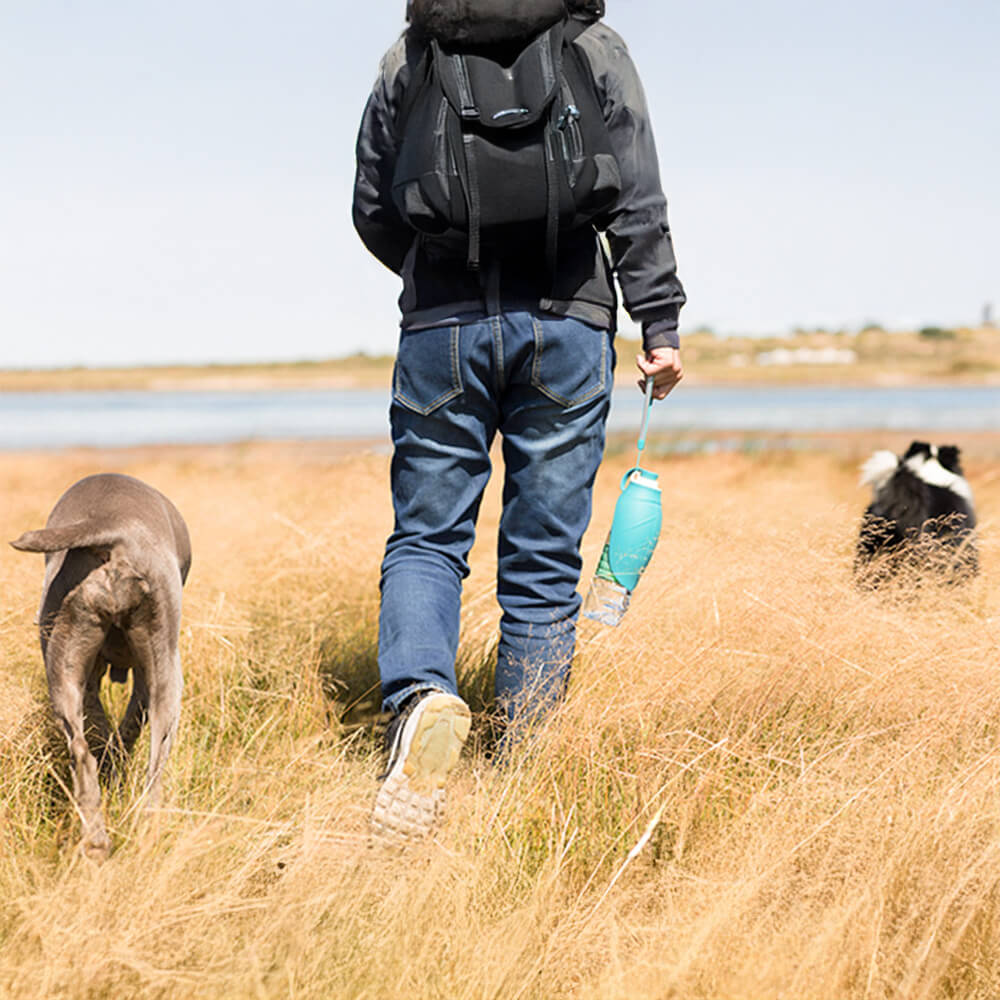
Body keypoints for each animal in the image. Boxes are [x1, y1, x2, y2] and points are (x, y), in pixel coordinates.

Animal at [11, 474, 190, 860]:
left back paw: (96, 843)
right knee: (155, 766)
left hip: (63, 655)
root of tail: (110, 523)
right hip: (168, 671)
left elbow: (102, 733)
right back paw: (148, 837)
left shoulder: (89, 679)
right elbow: (128, 727)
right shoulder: (144, 678)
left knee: (81, 751)